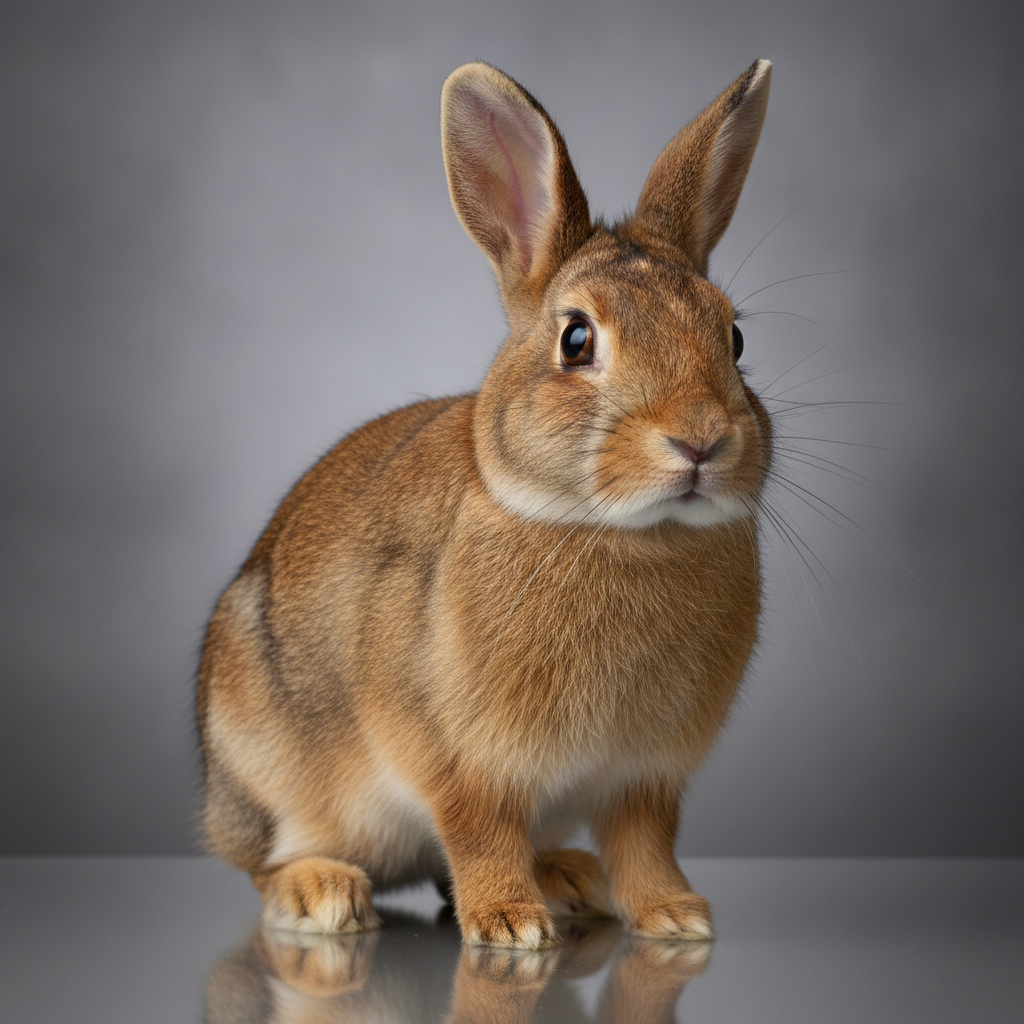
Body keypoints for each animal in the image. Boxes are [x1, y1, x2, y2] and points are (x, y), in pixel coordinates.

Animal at [197, 58, 773, 950]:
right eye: (577, 340)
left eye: (735, 338)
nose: (703, 440)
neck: (625, 532)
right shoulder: (460, 760)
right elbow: (479, 832)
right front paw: (509, 923)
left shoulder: (645, 776)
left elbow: (645, 843)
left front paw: (676, 916)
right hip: (264, 763)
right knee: (267, 860)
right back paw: (323, 893)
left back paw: (568, 878)